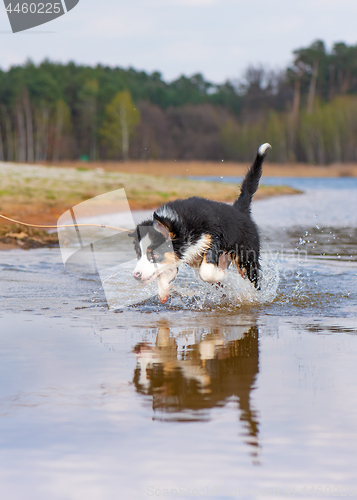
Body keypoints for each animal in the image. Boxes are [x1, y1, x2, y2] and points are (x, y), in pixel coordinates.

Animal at [129, 143, 272, 302]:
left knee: (252, 281)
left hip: (246, 258)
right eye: (138, 253)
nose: (136, 275)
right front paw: (164, 293)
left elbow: (206, 272)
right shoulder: (175, 255)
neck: (182, 225)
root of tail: (240, 210)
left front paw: (221, 274)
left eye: (153, 255)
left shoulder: (212, 237)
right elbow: (165, 273)